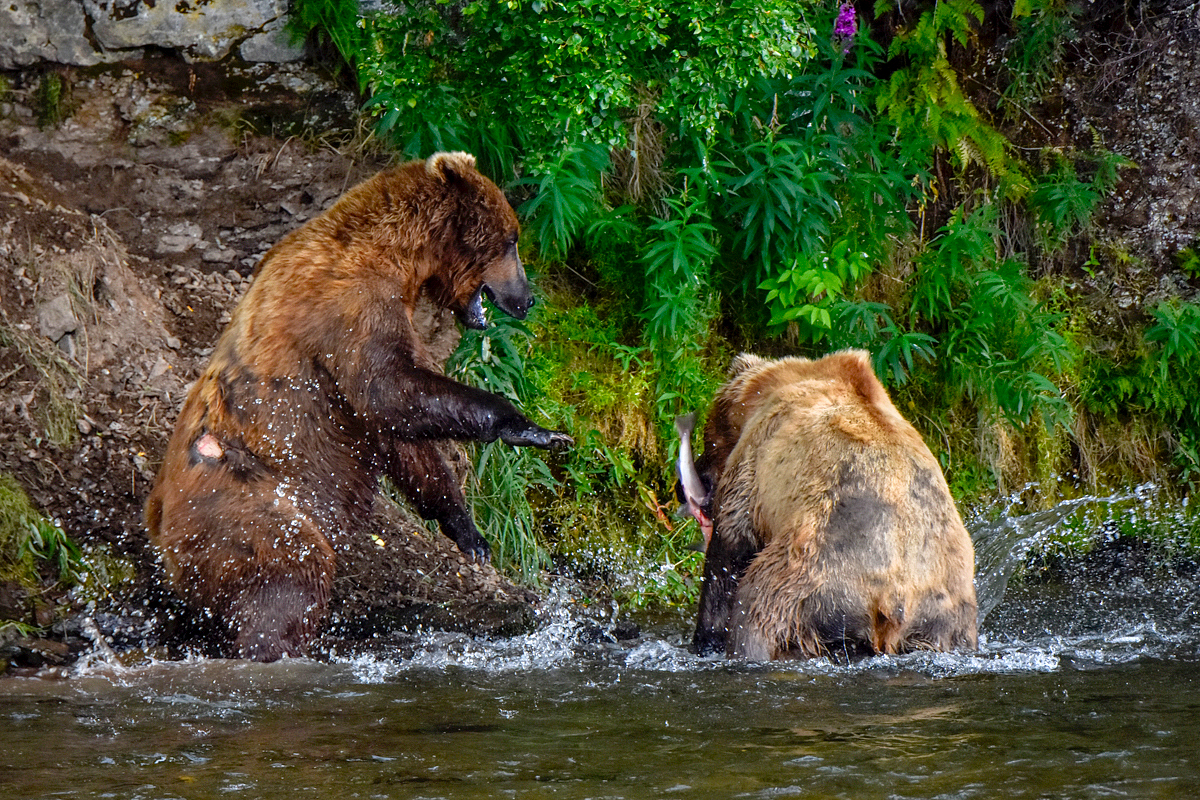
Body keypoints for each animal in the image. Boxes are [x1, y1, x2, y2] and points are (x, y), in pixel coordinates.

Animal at [145, 149, 571, 662]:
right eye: (512, 240)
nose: (527, 299)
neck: (399, 257)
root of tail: (158, 529)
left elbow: (403, 439)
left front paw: (470, 534)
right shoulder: (351, 309)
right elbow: (389, 391)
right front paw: (530, 428)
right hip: (248, 509)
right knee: (291, 577)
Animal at [676, 352, 974, 662]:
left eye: (708, 441)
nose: (681, 488)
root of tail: (892, 600)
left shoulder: (754, 467)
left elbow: (729, 554)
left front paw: (706, 637)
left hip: (809, 582)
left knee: (757, 614)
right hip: (943, 619)